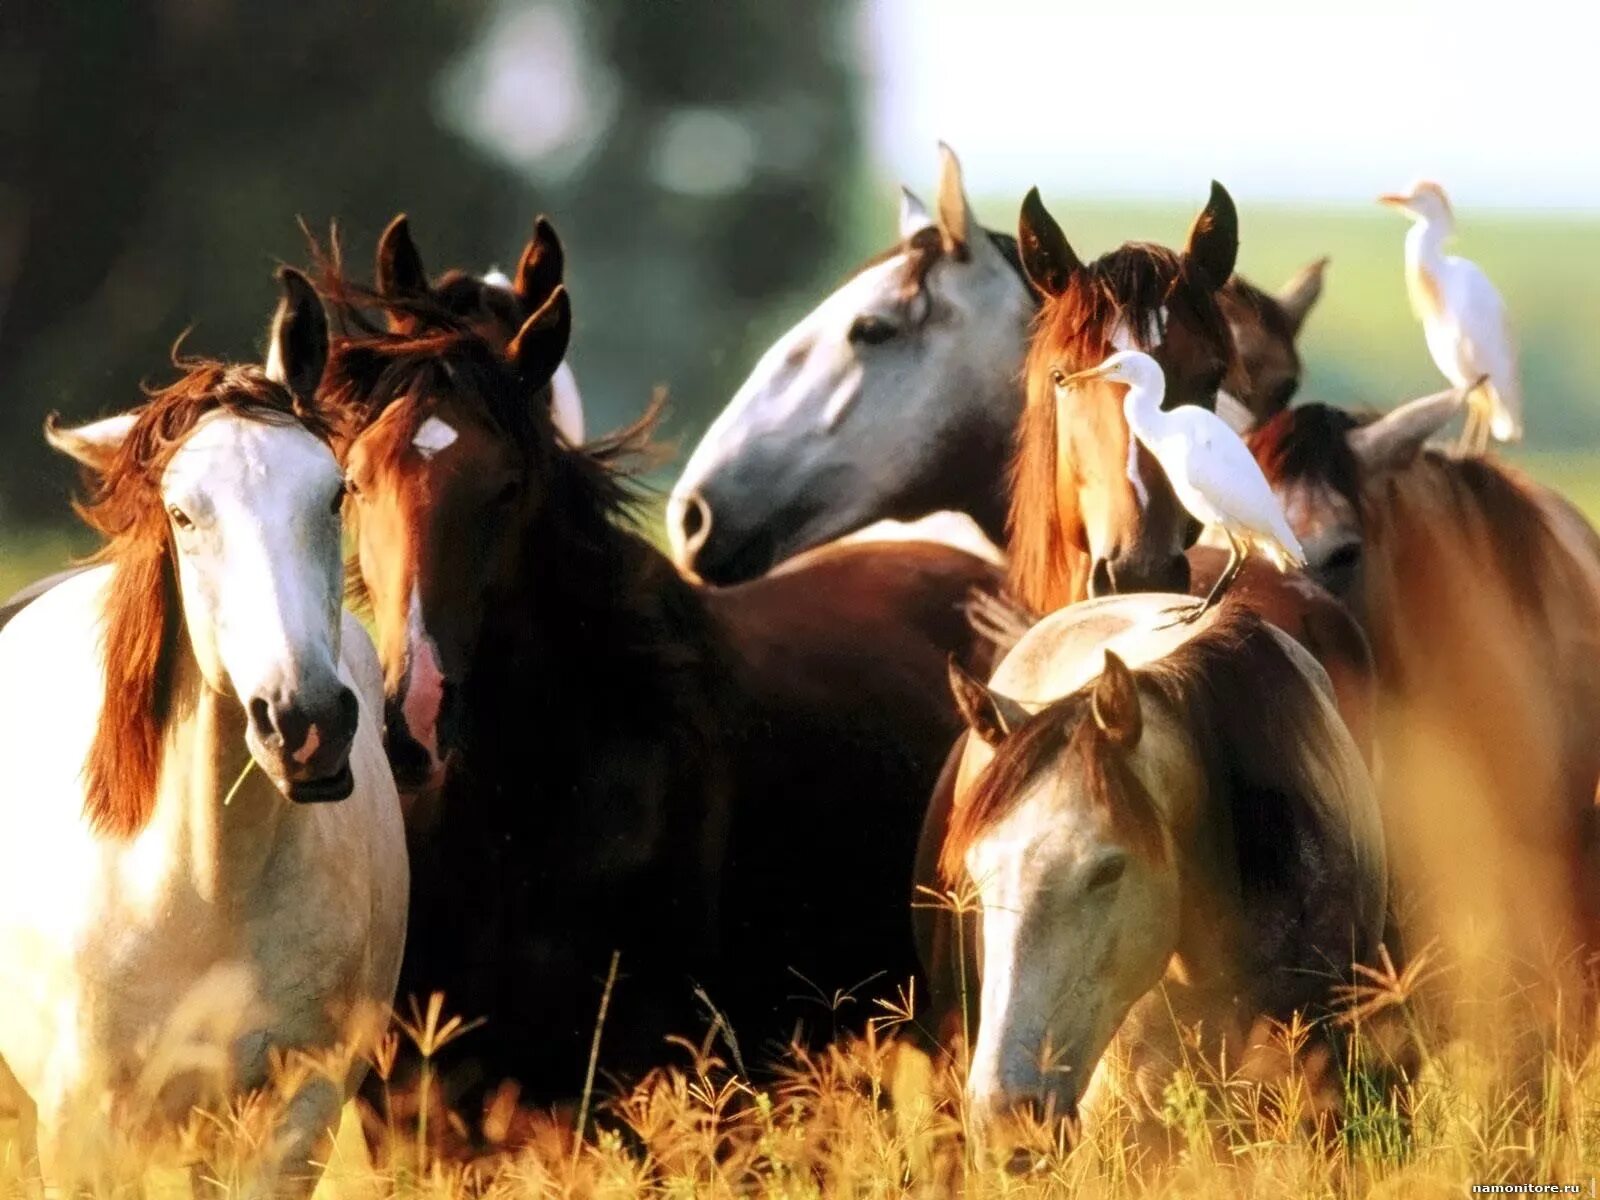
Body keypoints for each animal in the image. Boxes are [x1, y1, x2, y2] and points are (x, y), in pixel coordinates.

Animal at [0, 267, 409, 1196]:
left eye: (334, 493)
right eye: (183, 516)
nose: (305, 723)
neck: (204, 885)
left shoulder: (298, 1115)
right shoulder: (81, 1129)